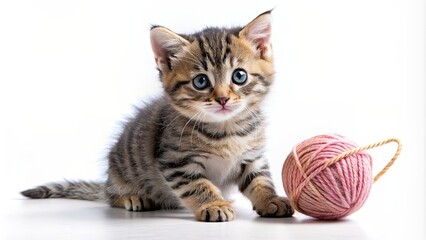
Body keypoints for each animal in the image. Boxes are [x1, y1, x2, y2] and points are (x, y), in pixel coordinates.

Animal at [20, 10, 292, 221]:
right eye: (201, 81)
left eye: (239, 76)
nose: (223, 98)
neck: (226, 129)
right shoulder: (176, 161)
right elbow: (198, 185)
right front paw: (213, 203)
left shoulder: (252, 157)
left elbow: (260, 180)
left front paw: (271, 199)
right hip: (121, 169)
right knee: (112, 196)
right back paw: (132, 196)